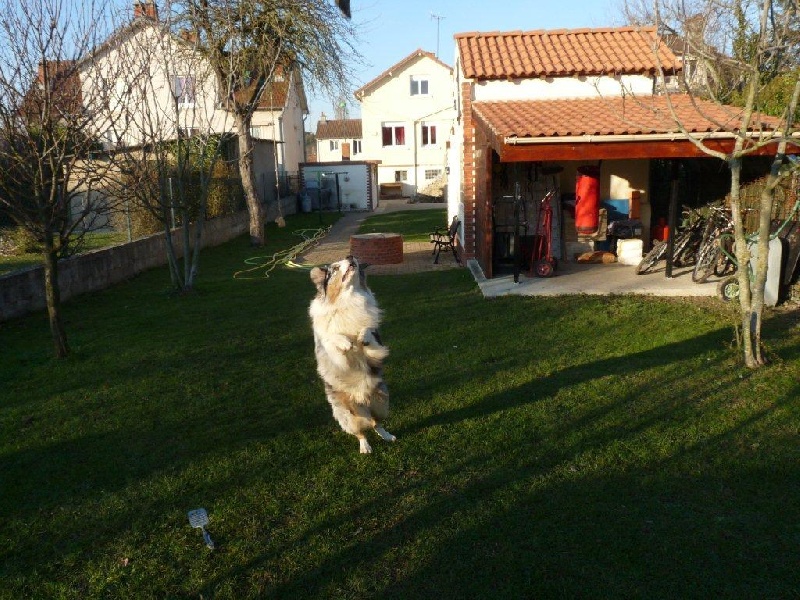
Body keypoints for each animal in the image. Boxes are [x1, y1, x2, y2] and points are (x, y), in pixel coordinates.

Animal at [308, 255, 396, 452]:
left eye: (349, 257)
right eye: (334, 268)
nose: (350, 257)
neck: (348, 300)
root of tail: (362, 403)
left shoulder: (377, 347)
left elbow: (368, 331)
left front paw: (362, 336)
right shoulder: (335, 357)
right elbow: (331, 338)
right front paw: (345, 342)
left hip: (381, 404)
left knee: (376, 424)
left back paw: (388, 436)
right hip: (348, 416)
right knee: (361, 432)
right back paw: (365, 448)